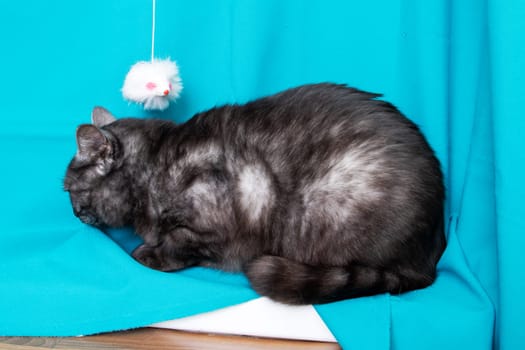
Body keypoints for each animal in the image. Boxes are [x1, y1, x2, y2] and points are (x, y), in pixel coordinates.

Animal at [62, 83, 446, 304]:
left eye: (69, 189)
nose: (73, 213)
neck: (155, 166)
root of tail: (428, 260)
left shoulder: (228, 212)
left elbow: (179, 244)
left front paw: (149, 253)